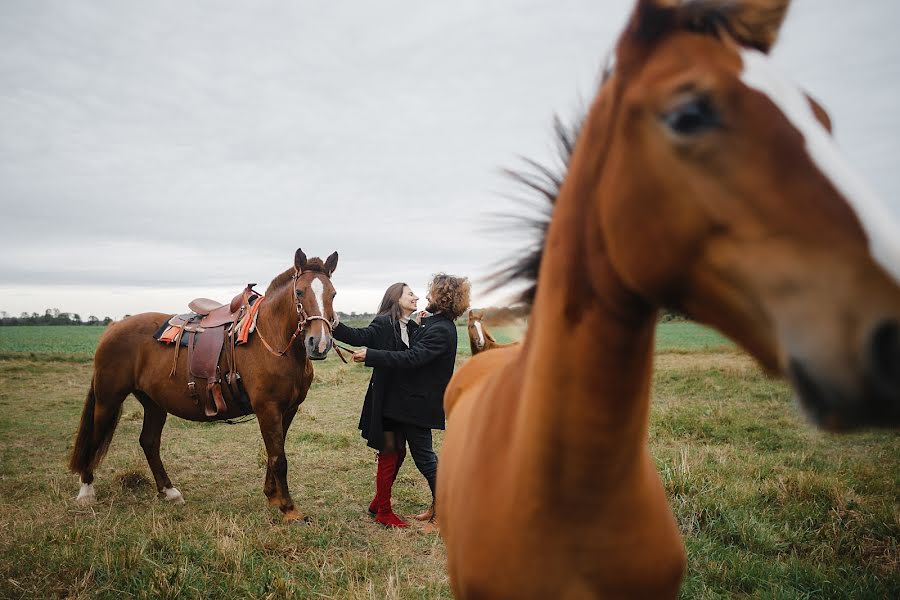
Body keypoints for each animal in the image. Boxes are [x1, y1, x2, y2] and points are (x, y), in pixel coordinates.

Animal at [70, 248, 342, 520]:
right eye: (299, 292)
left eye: (333, 294)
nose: (319, 343)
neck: (272, 340)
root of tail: (114, 326)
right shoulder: (268, 408)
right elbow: (278, 458)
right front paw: (289, 509)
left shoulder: (288, 409)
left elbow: (273, 454)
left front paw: (273, 498)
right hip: (108, 399)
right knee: (95, 437)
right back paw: (86, 491)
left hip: (153, 403)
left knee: (149, 442)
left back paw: (169, 492)